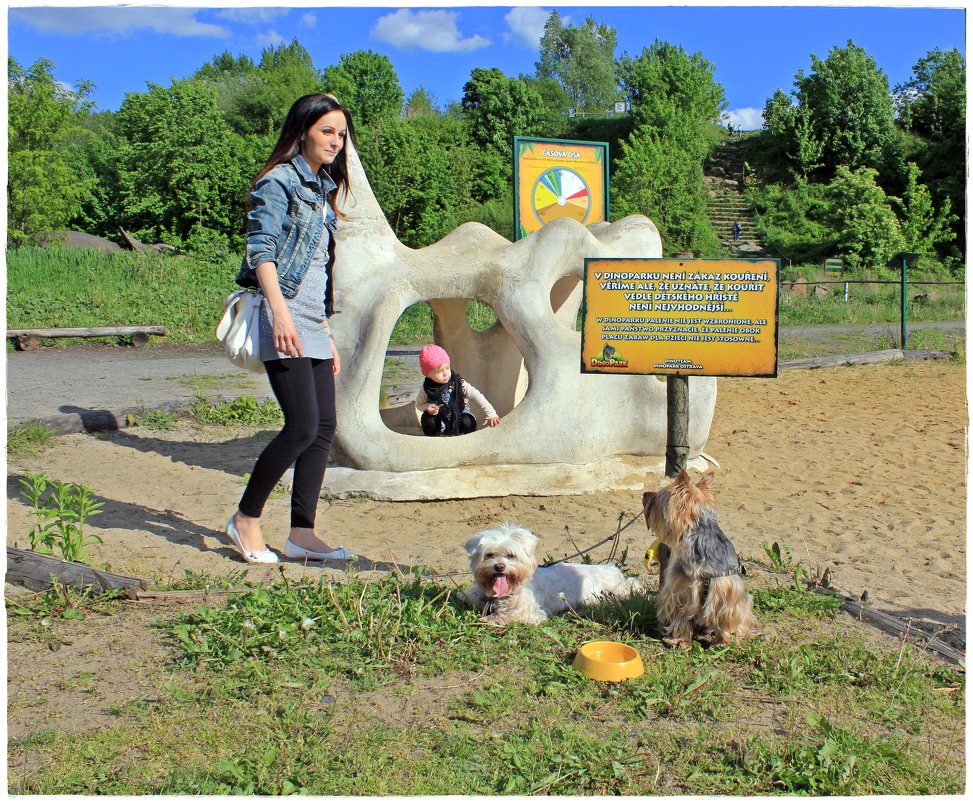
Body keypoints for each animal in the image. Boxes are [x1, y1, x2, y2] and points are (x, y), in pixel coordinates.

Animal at [464, 520, 636, 624]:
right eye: (489, 555)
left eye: (511, 555)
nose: (499, 567)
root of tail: (615, 570)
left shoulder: (530, 611)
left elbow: (509, 614)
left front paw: (489, 619)